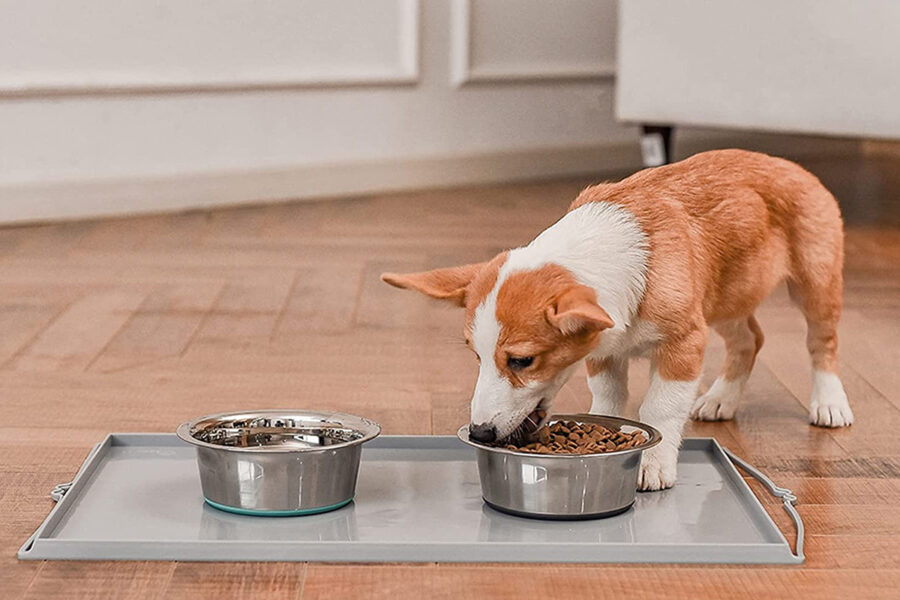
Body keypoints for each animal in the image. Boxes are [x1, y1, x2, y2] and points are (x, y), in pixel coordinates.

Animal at [384, 150, 856, 492]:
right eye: (476, 357)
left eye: (522, 361)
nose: (480, 433)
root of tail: (789, 164)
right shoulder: (603, 351)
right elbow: (609, 401)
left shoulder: (685, 341)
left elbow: (660, 407)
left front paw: (653, 464)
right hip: (726, 297)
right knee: (750, 339)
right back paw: (721, 398)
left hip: (814, 283)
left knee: (823, 342)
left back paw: (829, 402)